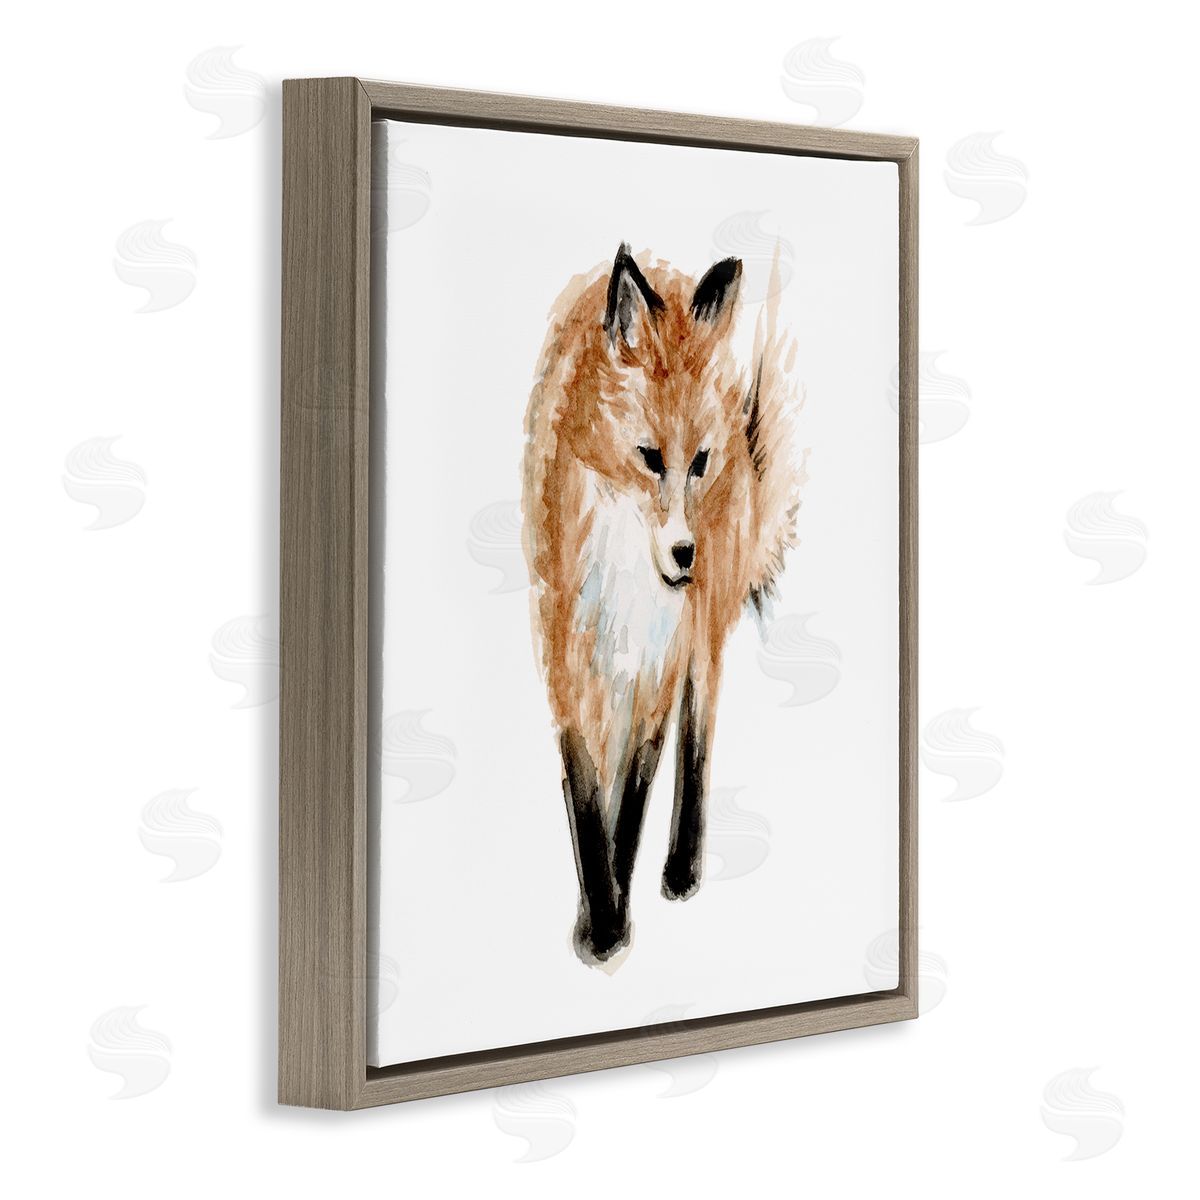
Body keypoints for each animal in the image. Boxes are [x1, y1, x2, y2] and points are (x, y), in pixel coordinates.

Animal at [522, 243, 802, 965]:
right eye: (649, 458)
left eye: (698, 462)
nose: (684, 555)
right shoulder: (565, 649)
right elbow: (587, 793)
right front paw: (602, 916)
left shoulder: (660, 660)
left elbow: (636, 792)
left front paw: (613, 916)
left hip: (701, 636)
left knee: (697, 735)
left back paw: (682, 866)